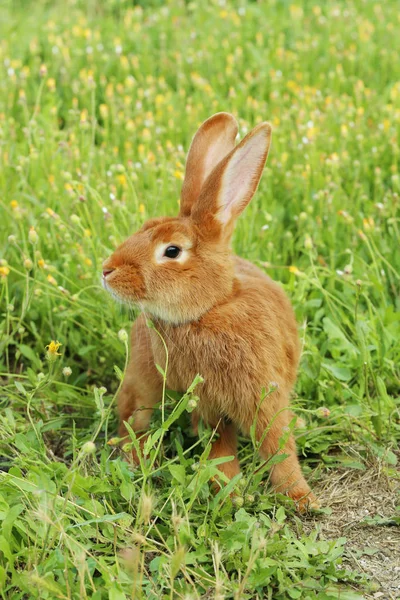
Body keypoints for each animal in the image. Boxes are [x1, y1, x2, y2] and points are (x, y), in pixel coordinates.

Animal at [102, 113, 318, 510]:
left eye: (171, 251)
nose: (107, 271)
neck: (211, 309)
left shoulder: (265, 397)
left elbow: (278, 446)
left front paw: (301, 498)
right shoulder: (207, 405)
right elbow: (220, 446)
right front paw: (228, 491)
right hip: (143, 379)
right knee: (131, 418)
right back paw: (136, 460)